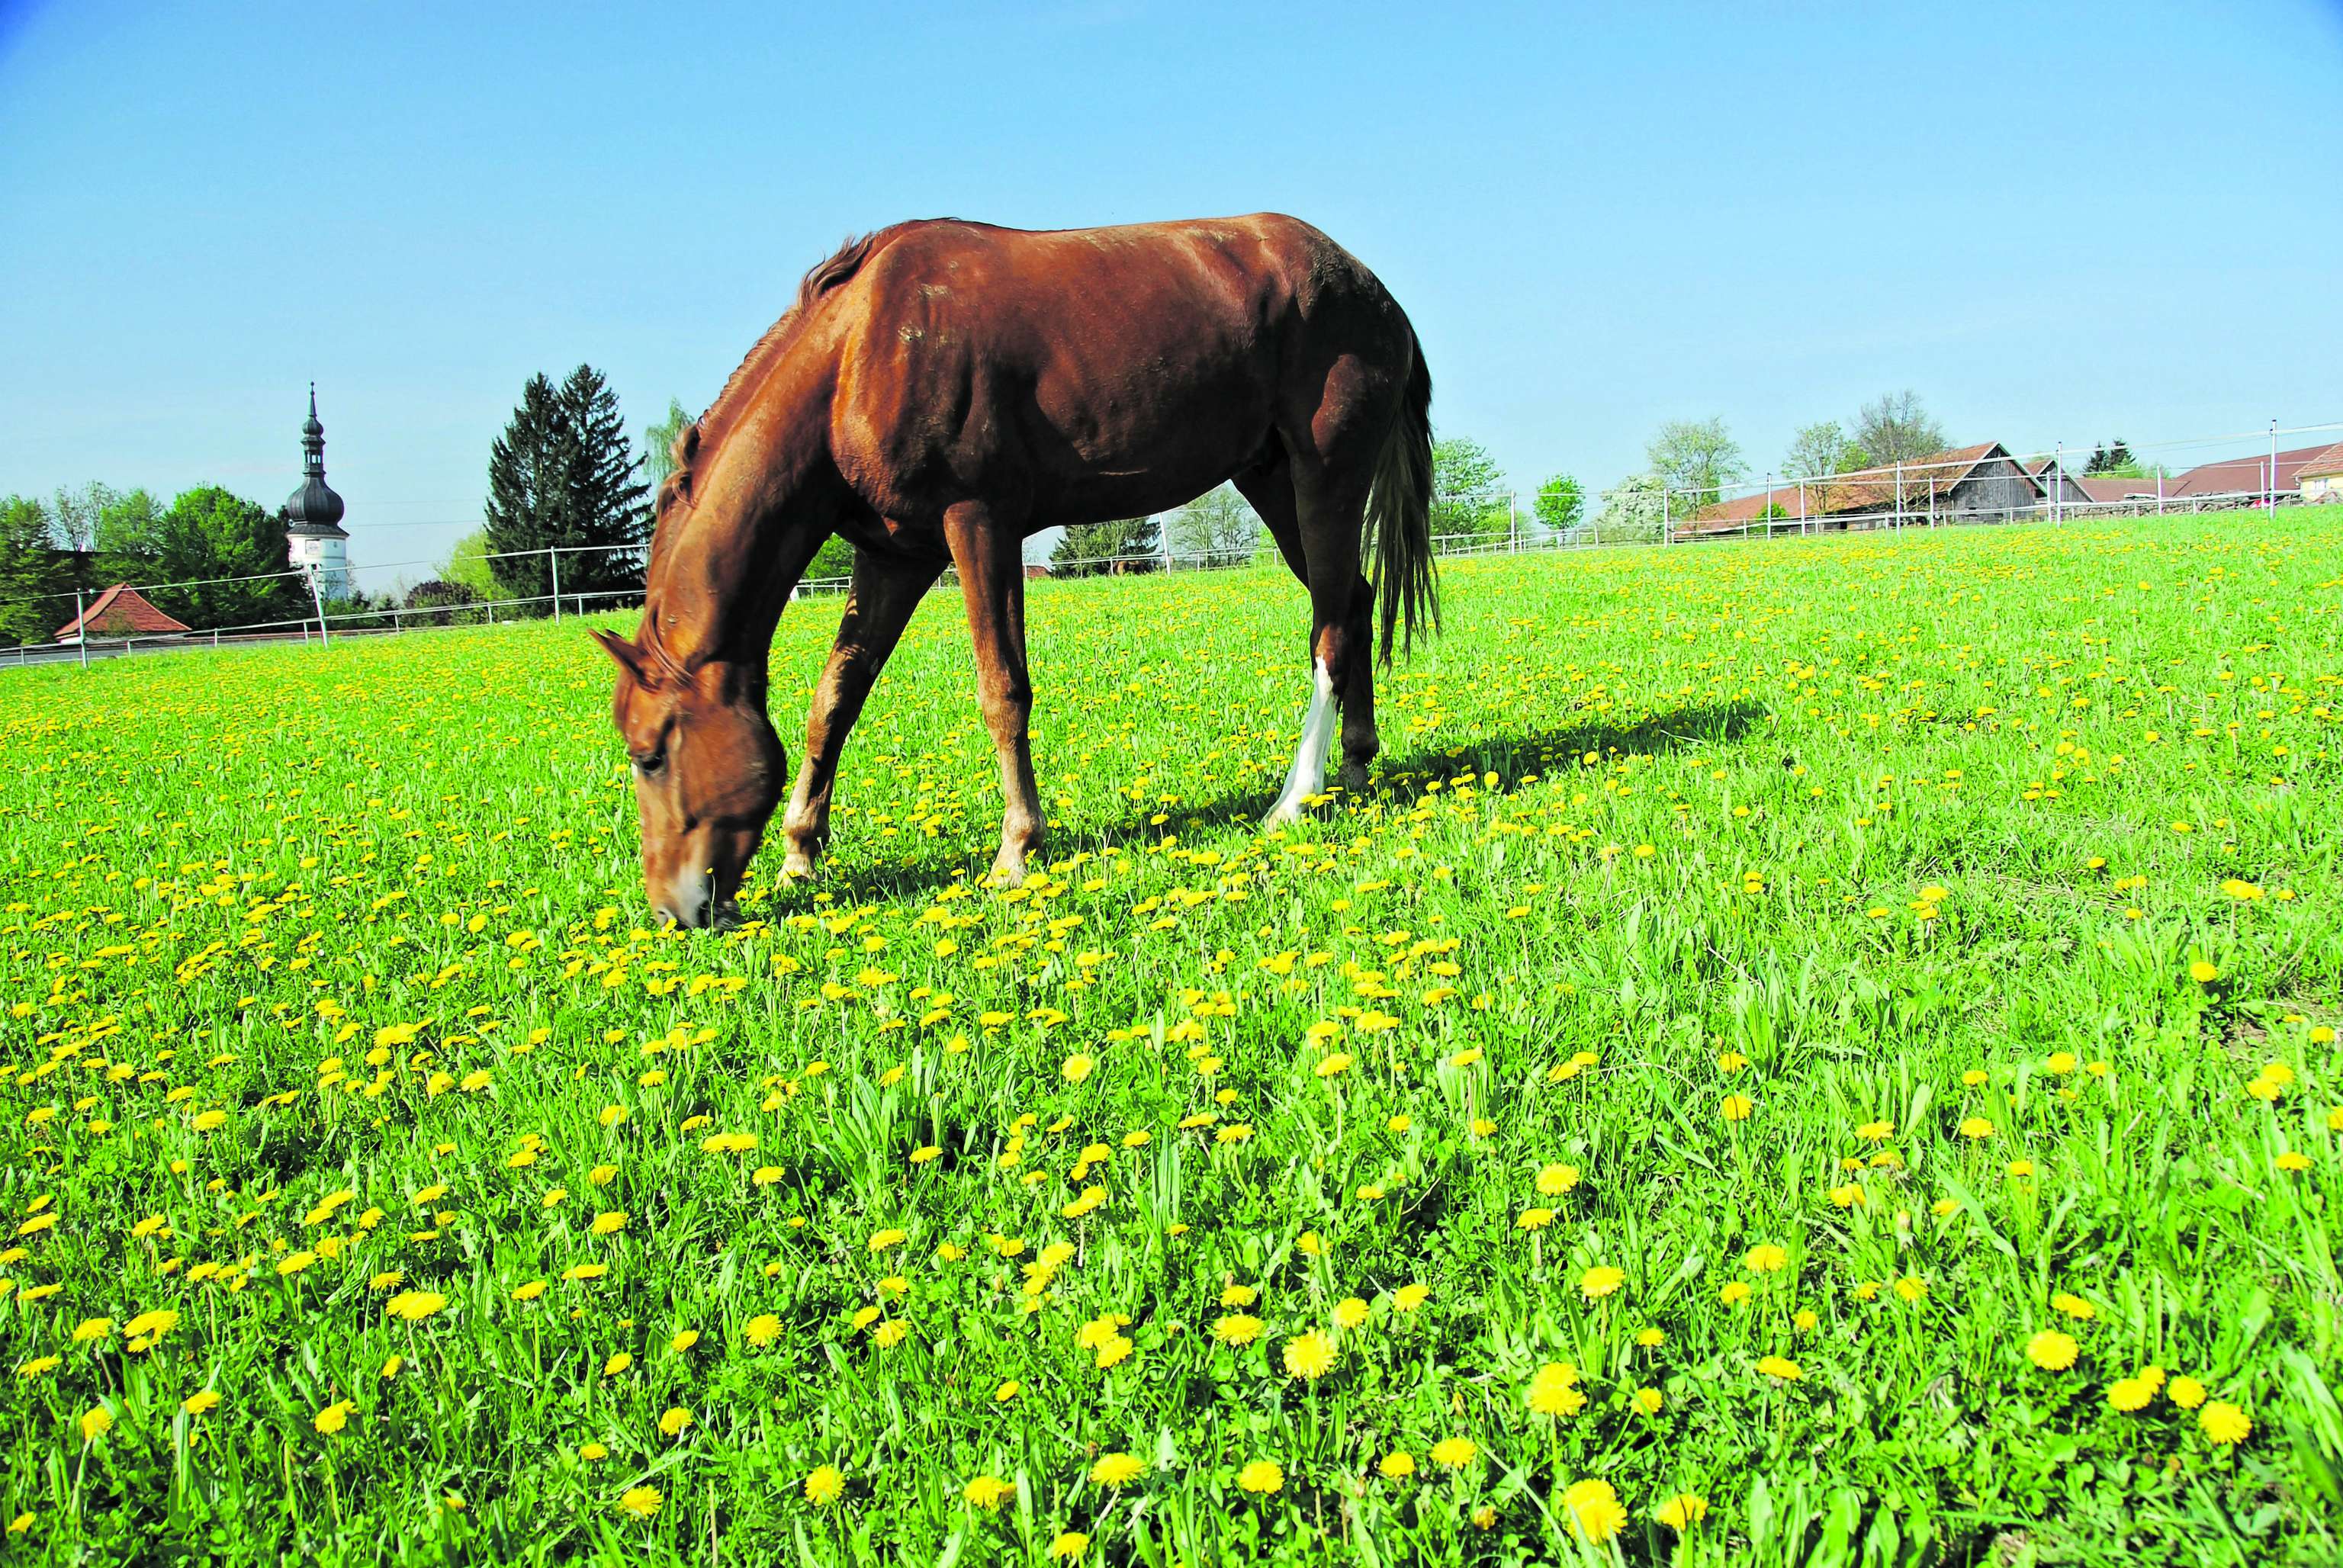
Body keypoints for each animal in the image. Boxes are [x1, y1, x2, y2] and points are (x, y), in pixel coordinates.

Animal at [593, 214, 1435, 928]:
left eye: (651, 754)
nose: (672, 910)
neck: (859, 352)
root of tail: (1375, 292)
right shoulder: (895, 555)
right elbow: (835, 698)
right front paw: (801, 853)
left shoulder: (978, 523)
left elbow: (1002, 690)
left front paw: (1017, 849)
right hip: (1272, 479)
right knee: (1352, 601)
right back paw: (1356, 764)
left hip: (1325, 474)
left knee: (1330, 627)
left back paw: (1296, 797)